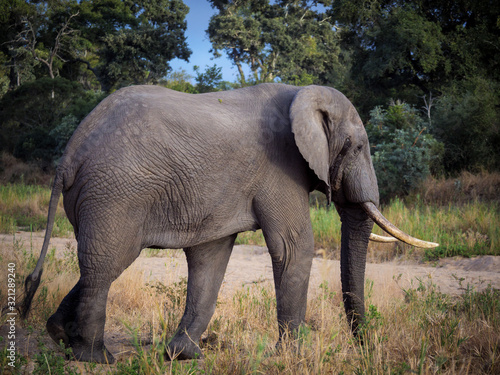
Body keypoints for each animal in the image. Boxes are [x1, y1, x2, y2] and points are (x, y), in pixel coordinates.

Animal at [22, 83, 438, 364]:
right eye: (358, 147)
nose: (366, 349)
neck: (301, 96)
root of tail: (70, 152)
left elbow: (212, 257)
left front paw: (183, 357)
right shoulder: (279, 169)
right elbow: (293, 248)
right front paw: (294, 357)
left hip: (101, 196)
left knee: (102, 263)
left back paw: (59, 336)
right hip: (115, 194)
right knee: (108, 263)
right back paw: (97, 357)